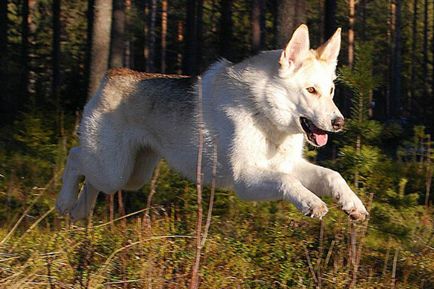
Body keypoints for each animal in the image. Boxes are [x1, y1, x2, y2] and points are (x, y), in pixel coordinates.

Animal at [56, 25, 368, 220]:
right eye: (311, 90)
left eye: (331, 91)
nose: (339, 123)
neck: (263, 113)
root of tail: (113, 76)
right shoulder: (246, 181)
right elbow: (287, 182)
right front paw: (311, 203)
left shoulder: (289, 165)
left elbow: (332, 176)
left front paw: (352, 204)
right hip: (114, 171)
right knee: (74, 157)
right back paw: (63, 202)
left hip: (130, 177)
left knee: (89, 180)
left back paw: (78, 212)